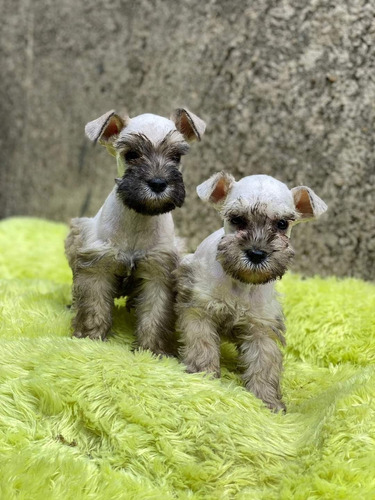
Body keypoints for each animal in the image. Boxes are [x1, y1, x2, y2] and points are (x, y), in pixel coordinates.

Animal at [64, 108, 206, 356]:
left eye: (176, 157)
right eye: (131, 155)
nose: (158, 183)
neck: (139, 217)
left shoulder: (158, 272)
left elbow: (154, 316)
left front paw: (151, 350)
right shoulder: (97, 267)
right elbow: (94, 308)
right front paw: (90, 340)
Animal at [178, 172, 328, 410]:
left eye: (282, 224)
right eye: (237, 219)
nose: (256, 253)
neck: (242, 283)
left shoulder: (261, 327)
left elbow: (264, 364)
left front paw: (267, 401)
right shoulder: (200, 310)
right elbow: (202, 345)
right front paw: (203, 377)